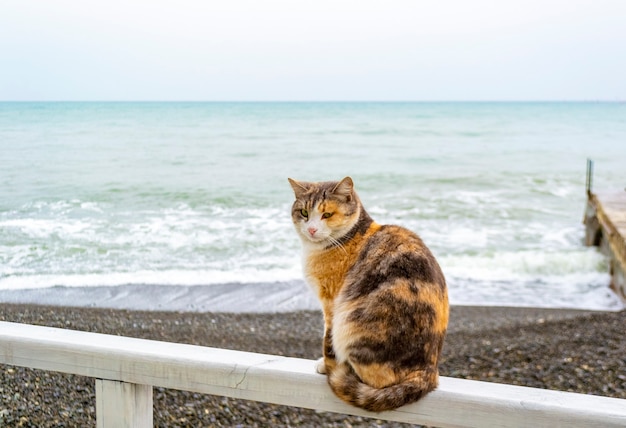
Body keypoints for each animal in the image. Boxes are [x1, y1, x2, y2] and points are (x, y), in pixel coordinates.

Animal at [288, 176, 448, 412]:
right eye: (304, 213)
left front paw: (325, 364)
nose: (312, 230)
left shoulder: (331, 303)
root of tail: (429, 371)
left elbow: (328, 341)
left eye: (327, 214)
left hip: (351, 322)